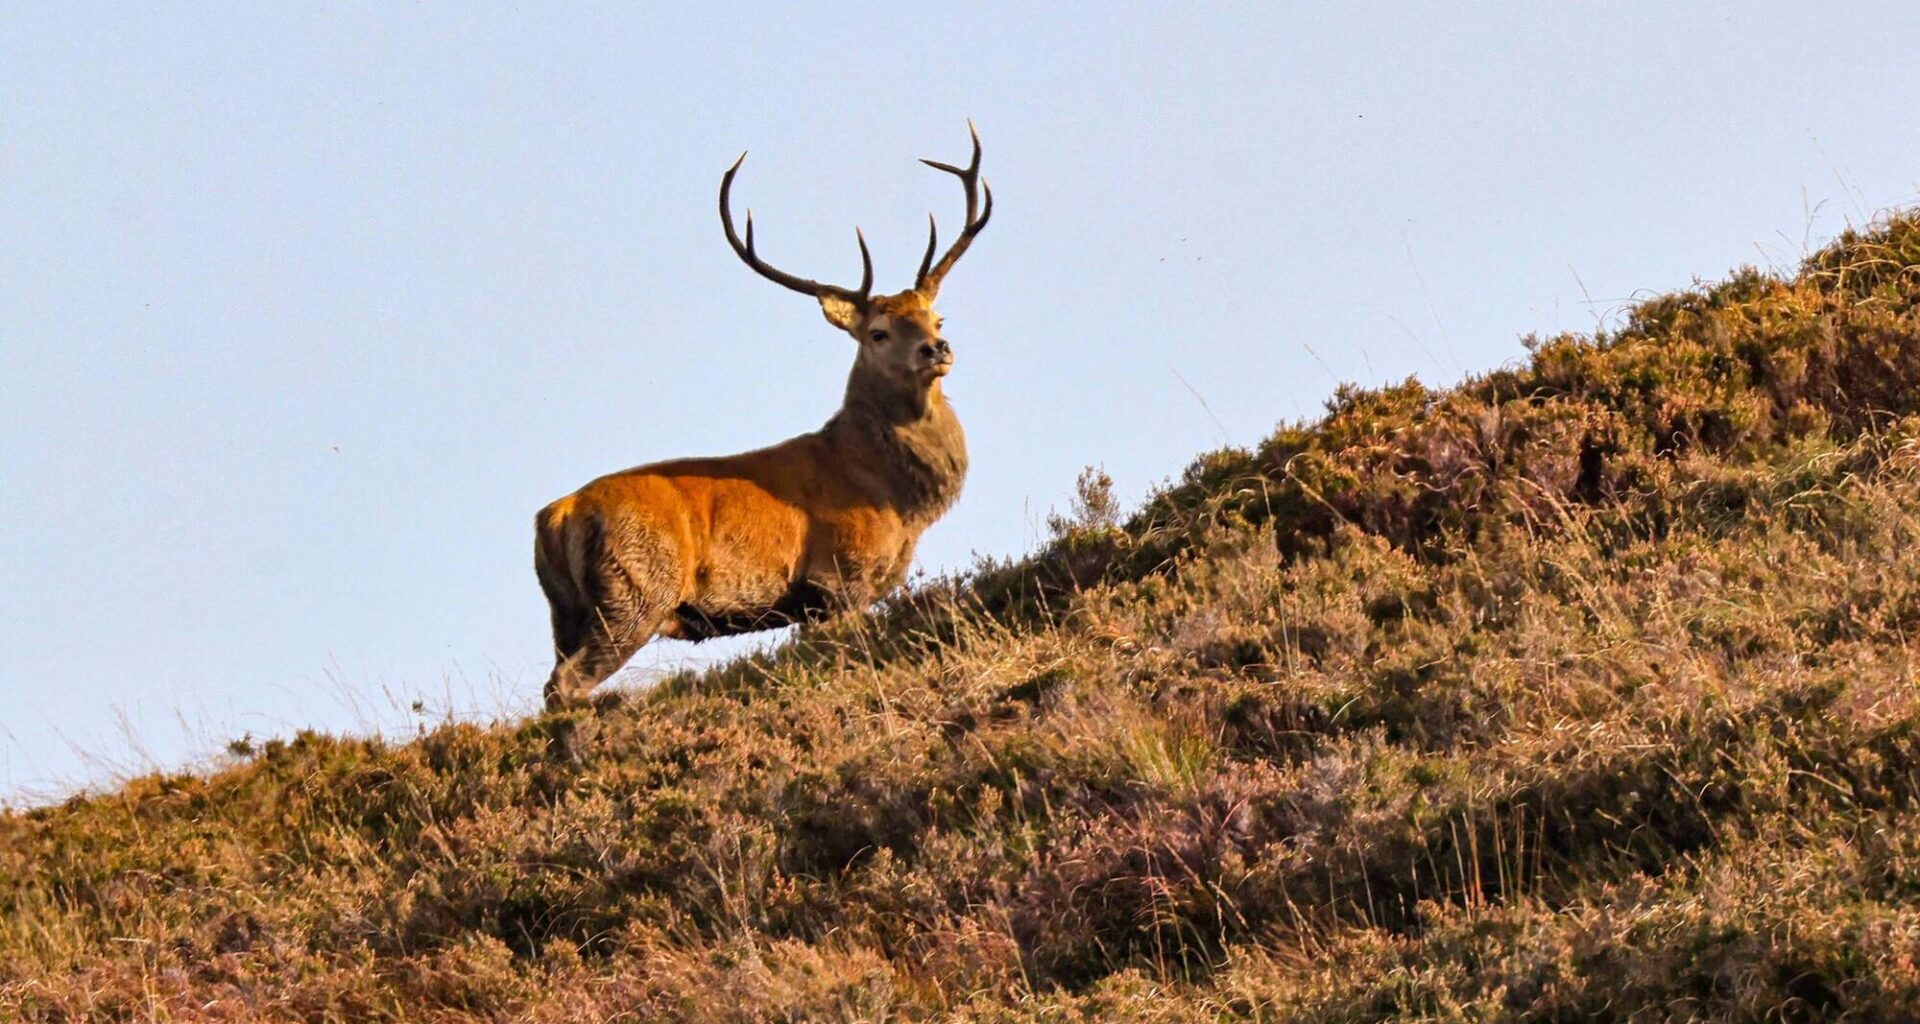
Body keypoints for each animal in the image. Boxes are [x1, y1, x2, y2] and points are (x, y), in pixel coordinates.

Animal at [533, 123, 993, 710]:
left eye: (937, 317)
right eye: (878, 332)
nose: (936, 349)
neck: (895, 497)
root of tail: (556, 516)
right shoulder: (839, 579)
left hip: (566, 613)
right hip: (633, 592)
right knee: (564, 683)